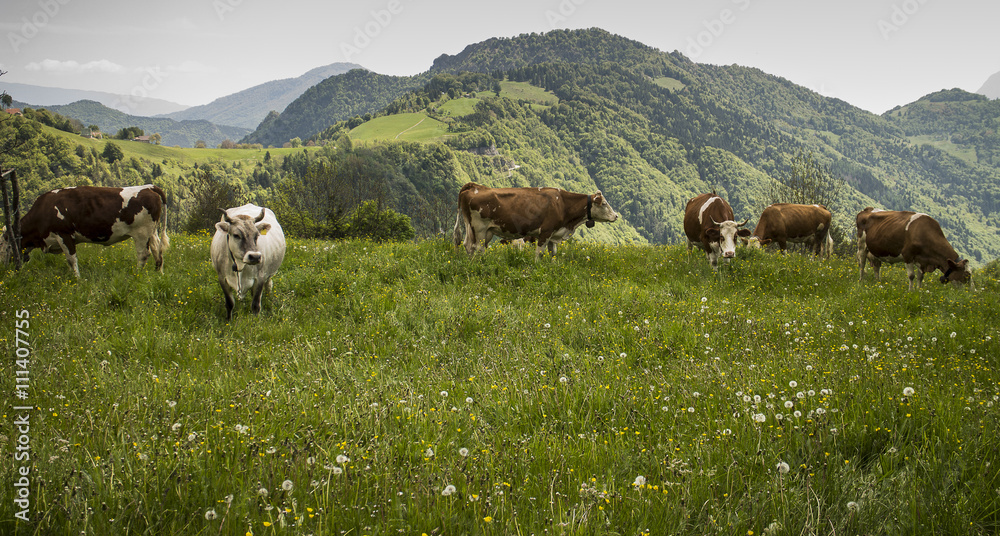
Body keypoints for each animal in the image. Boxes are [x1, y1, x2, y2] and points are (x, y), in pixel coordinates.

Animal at [0, 184, 168, 277]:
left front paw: (77, 279)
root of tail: (148, 187)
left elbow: (71, 259)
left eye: (1, 245)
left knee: (144, 254)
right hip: (152, 232)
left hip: (141, 233)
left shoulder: (64, 235)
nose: (3, 266)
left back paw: (136, 275)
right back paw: (158, 273)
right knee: (157, 250)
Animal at [452, 182, 618, 260]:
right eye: (604, 204)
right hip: (479, 228)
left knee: (468, 245)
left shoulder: (554, 233)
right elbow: (539, 253)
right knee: (477, 247)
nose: (616, 216)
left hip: (481, 230)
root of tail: (474, 186)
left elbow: (553, 253)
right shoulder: (545, 231)